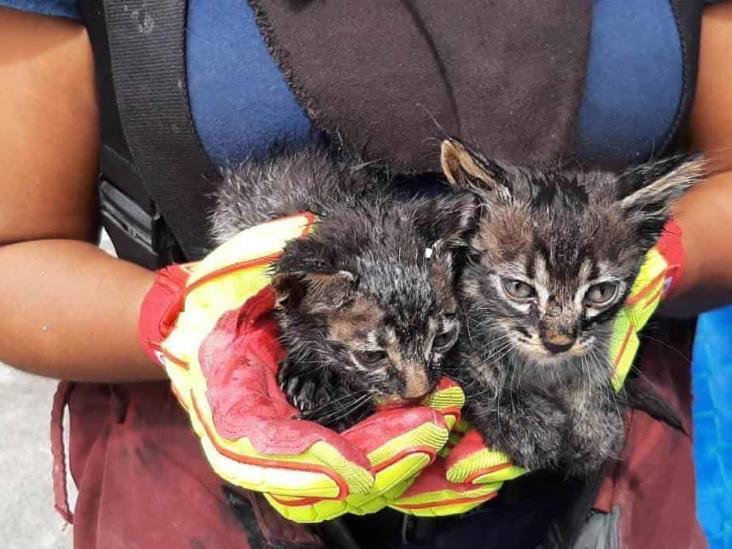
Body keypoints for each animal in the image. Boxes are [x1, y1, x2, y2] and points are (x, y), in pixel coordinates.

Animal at [440, 138, 704, 476]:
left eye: (601, 293)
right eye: (519, 289)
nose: (558, 343)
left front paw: (595, 416)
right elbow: (474, 365)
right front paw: (519, 413)